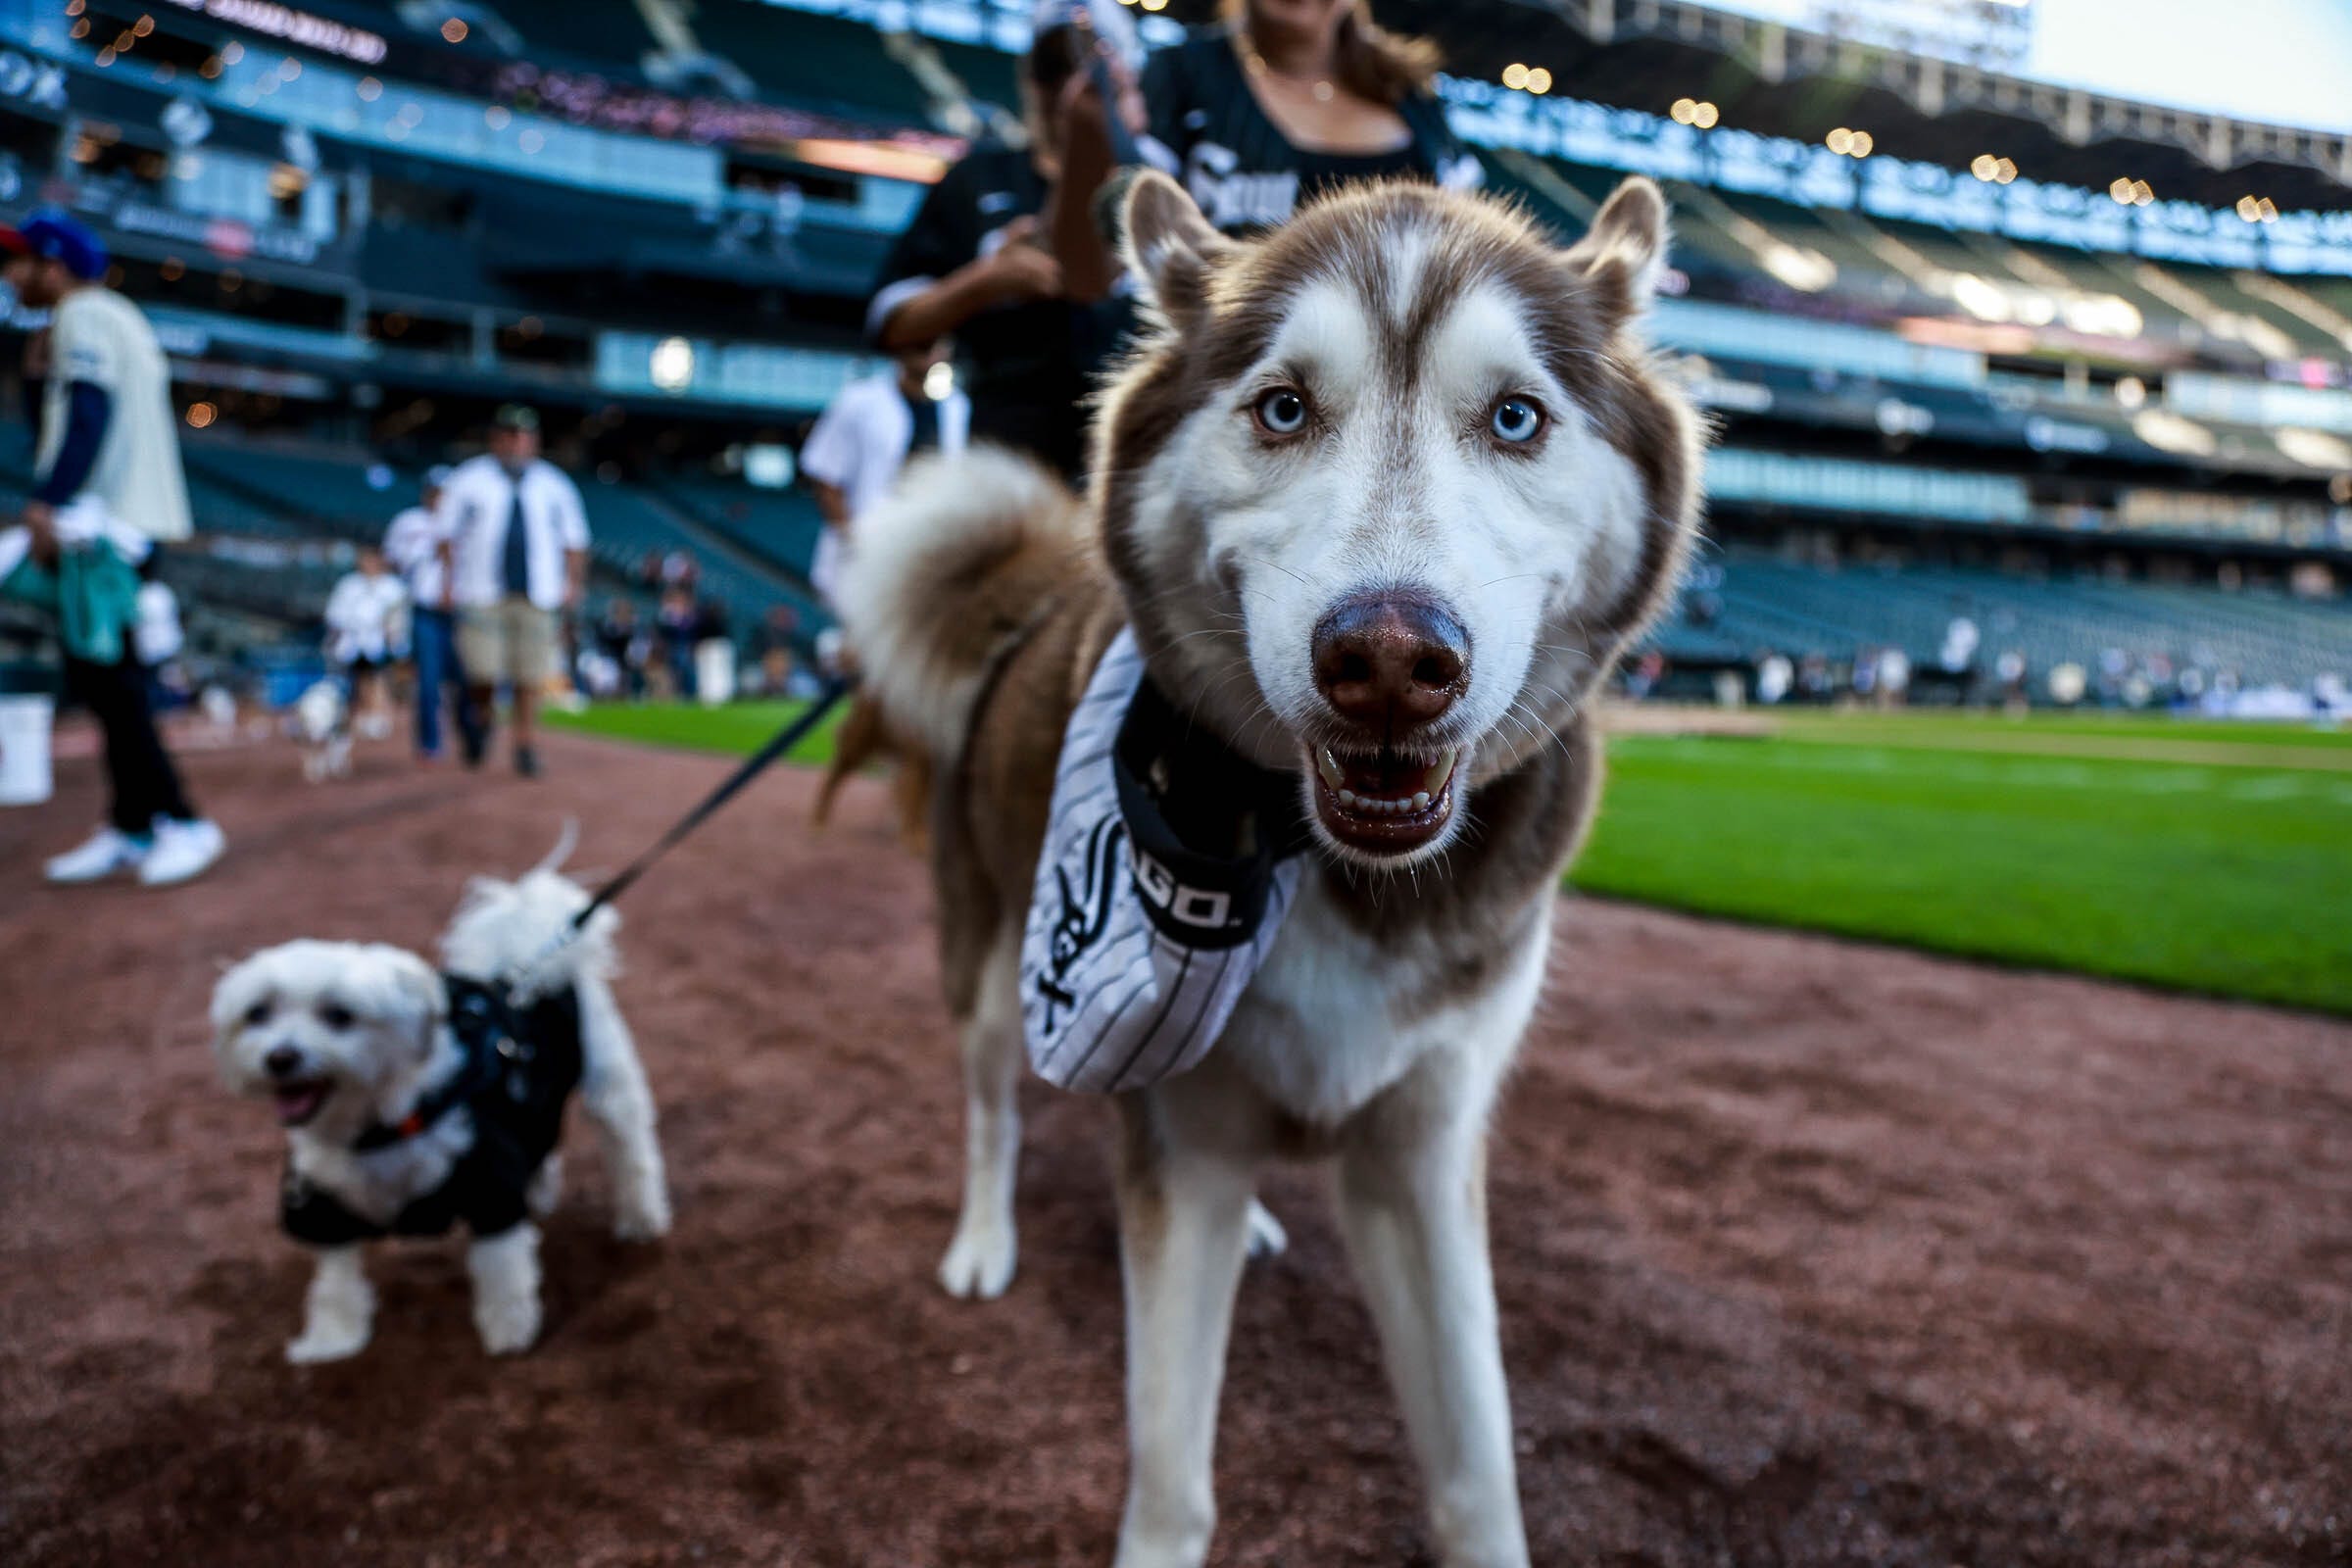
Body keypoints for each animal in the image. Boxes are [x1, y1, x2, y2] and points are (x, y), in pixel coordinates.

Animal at [209, 846, 672, 1363]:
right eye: (257, 1013)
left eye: (339, 1015)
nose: (281, 1057)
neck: (379, 1129)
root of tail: (518, 964)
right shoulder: (320, 1206)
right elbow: (333, 1283)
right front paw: (331, 1340)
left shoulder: (491, 1187)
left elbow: (503, 1272)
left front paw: (509, 1333)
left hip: (608, 1079)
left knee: (630, 1152)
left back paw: (641, 1218)